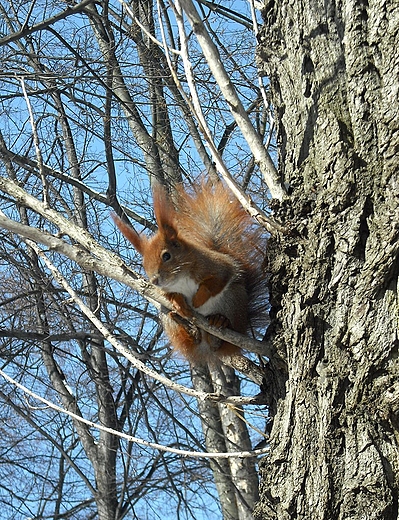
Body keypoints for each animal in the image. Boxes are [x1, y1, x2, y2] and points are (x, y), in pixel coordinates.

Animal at [113, 181, 266, 364]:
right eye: (144, 263)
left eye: (166, 255)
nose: (154, 280)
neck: (179, 279)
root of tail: (205, 350)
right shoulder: (164, 291)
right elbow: (169, 295)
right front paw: (179, 303)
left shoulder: (215, 266)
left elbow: (218, 280)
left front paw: (198, 299)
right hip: (164, 313)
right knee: (188, 333)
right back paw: (187, 326)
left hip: (234, 301)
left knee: (223, 337)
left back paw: (219, 324)